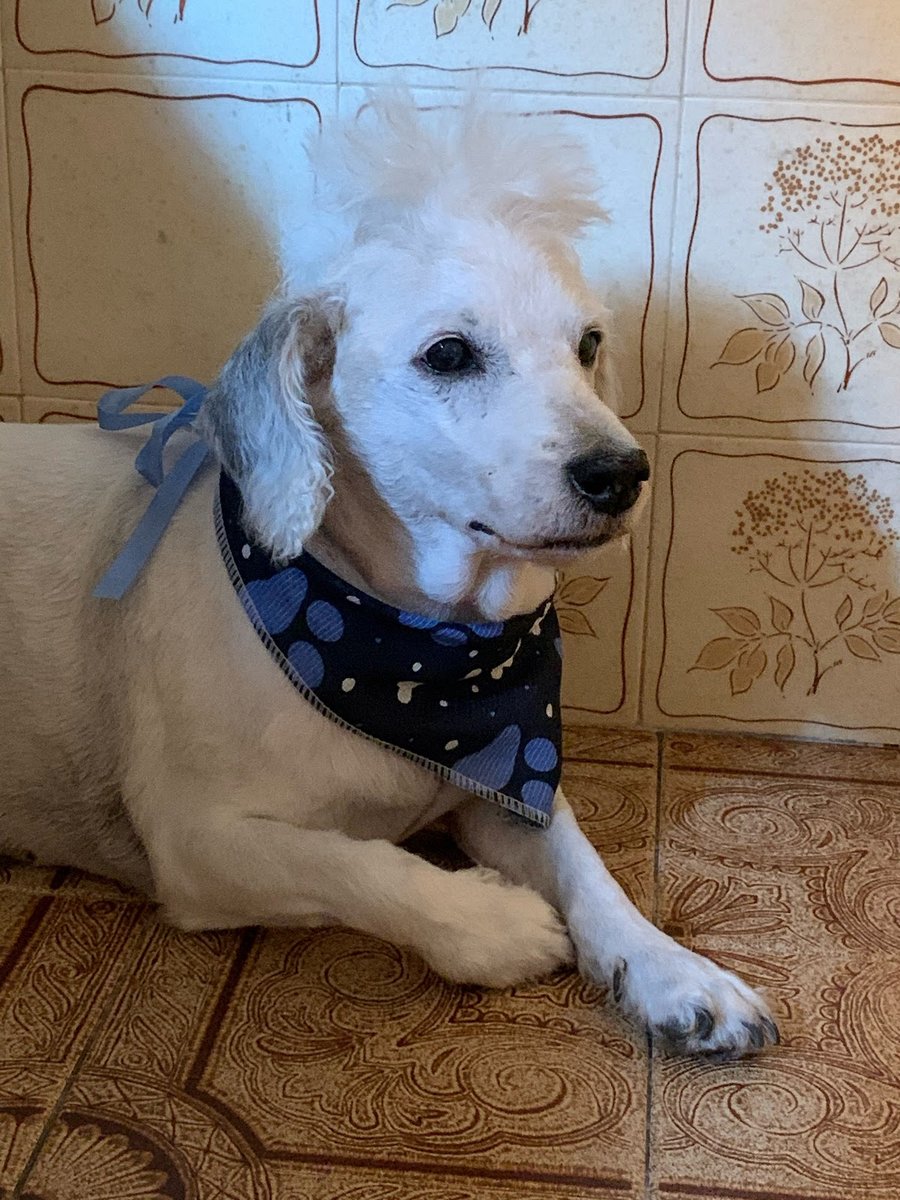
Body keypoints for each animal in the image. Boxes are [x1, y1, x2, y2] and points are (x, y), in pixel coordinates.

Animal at [0, 96, 777, 1058]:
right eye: (448, 354)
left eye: (590, 344)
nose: (621, 472)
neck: (415, 654)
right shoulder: (197, 841)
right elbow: (355, 864)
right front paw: (493, 925)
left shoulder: (510, 785)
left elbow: (589, 869)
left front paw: (674, 970)